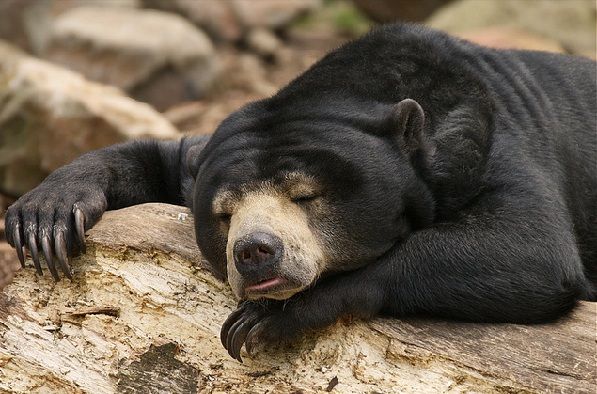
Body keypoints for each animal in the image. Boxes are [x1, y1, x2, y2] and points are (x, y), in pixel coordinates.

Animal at [4, 24, 596, 362]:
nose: (253, 252)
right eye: (225, 214)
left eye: (306, 196)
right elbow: (169, 156)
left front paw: (266, 319)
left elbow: (530, 248)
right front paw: (45, 217)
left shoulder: (488, 137)